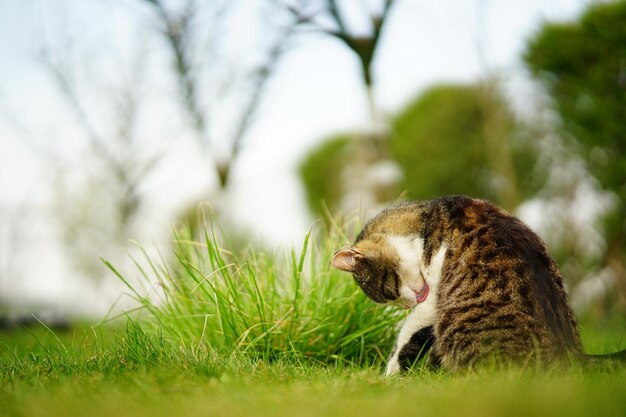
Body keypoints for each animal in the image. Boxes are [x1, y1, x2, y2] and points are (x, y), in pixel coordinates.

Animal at [330, 195, 620, 374]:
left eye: (389, 291)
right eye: (393, 298)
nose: (409, 303)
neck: (426, 223)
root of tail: (572, 353)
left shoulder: (431, 303)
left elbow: (406, 338)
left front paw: (390, 377)